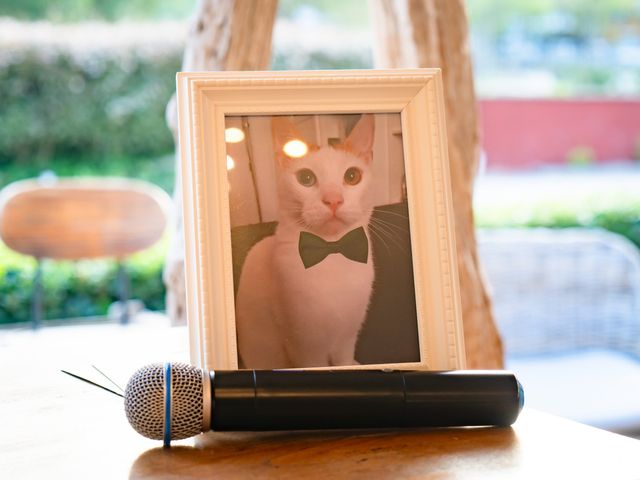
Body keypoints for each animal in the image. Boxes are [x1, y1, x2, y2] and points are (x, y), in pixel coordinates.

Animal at [235, 114, 376, 370]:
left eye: (352, 176)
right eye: (306, 178)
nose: (333, 200)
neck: (332, 254)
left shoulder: (348, 335)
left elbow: (344, 361)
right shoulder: (305, 347)